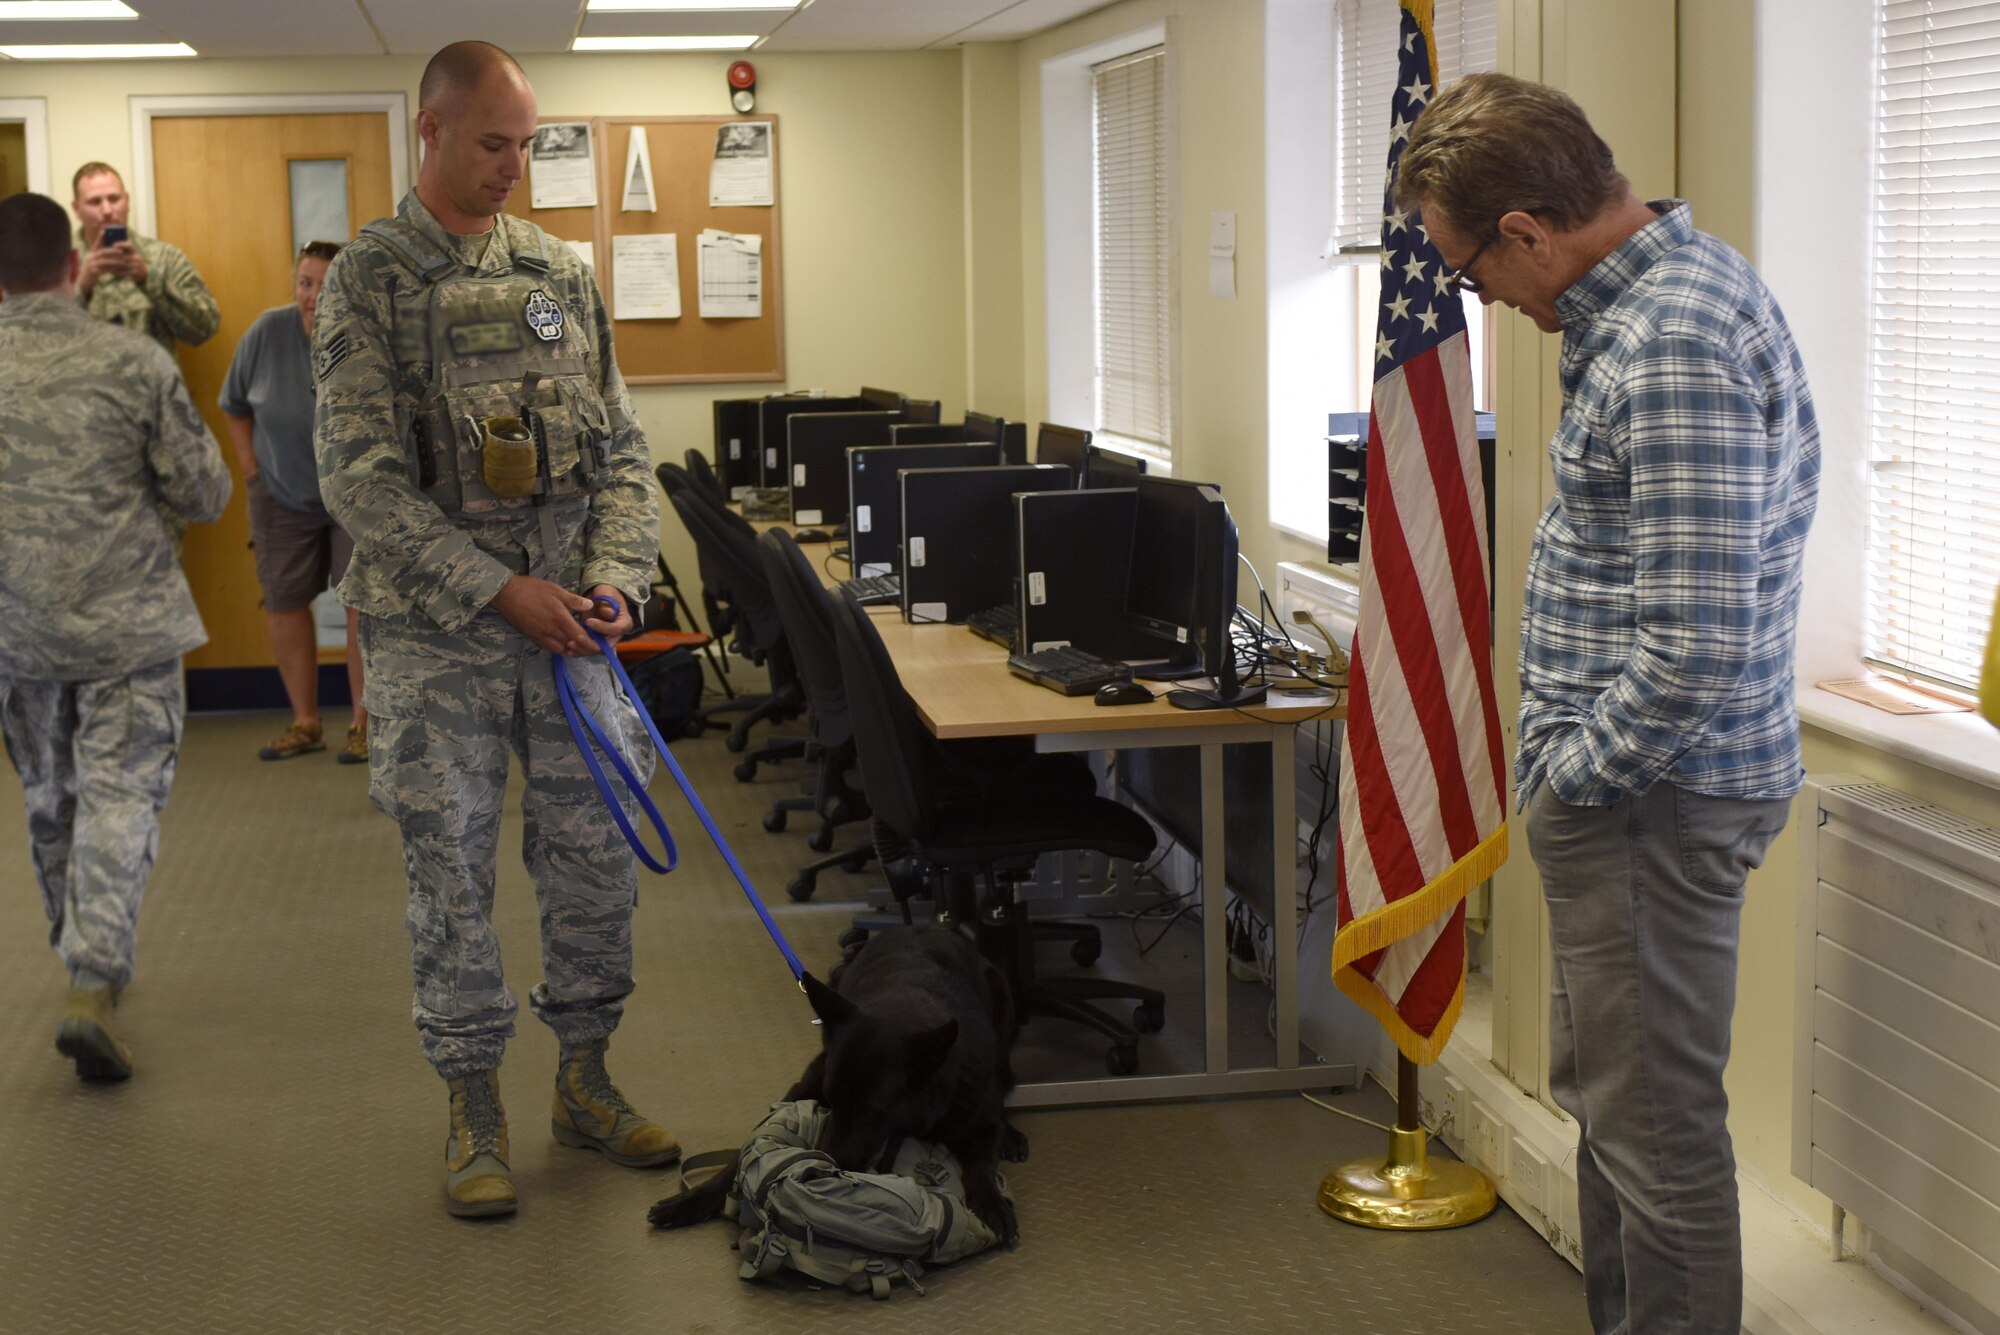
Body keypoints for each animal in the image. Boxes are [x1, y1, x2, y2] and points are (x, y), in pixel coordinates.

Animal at [652, 923, 1032, 1247]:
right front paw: (694, 1199)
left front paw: (991, 1202)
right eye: (832, 1101)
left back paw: (1011, 1135)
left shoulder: (979, 1118)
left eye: (873, 1113)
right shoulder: (804, 1089)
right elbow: (739, 1156)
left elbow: (981, 1163)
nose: (828, 1167)